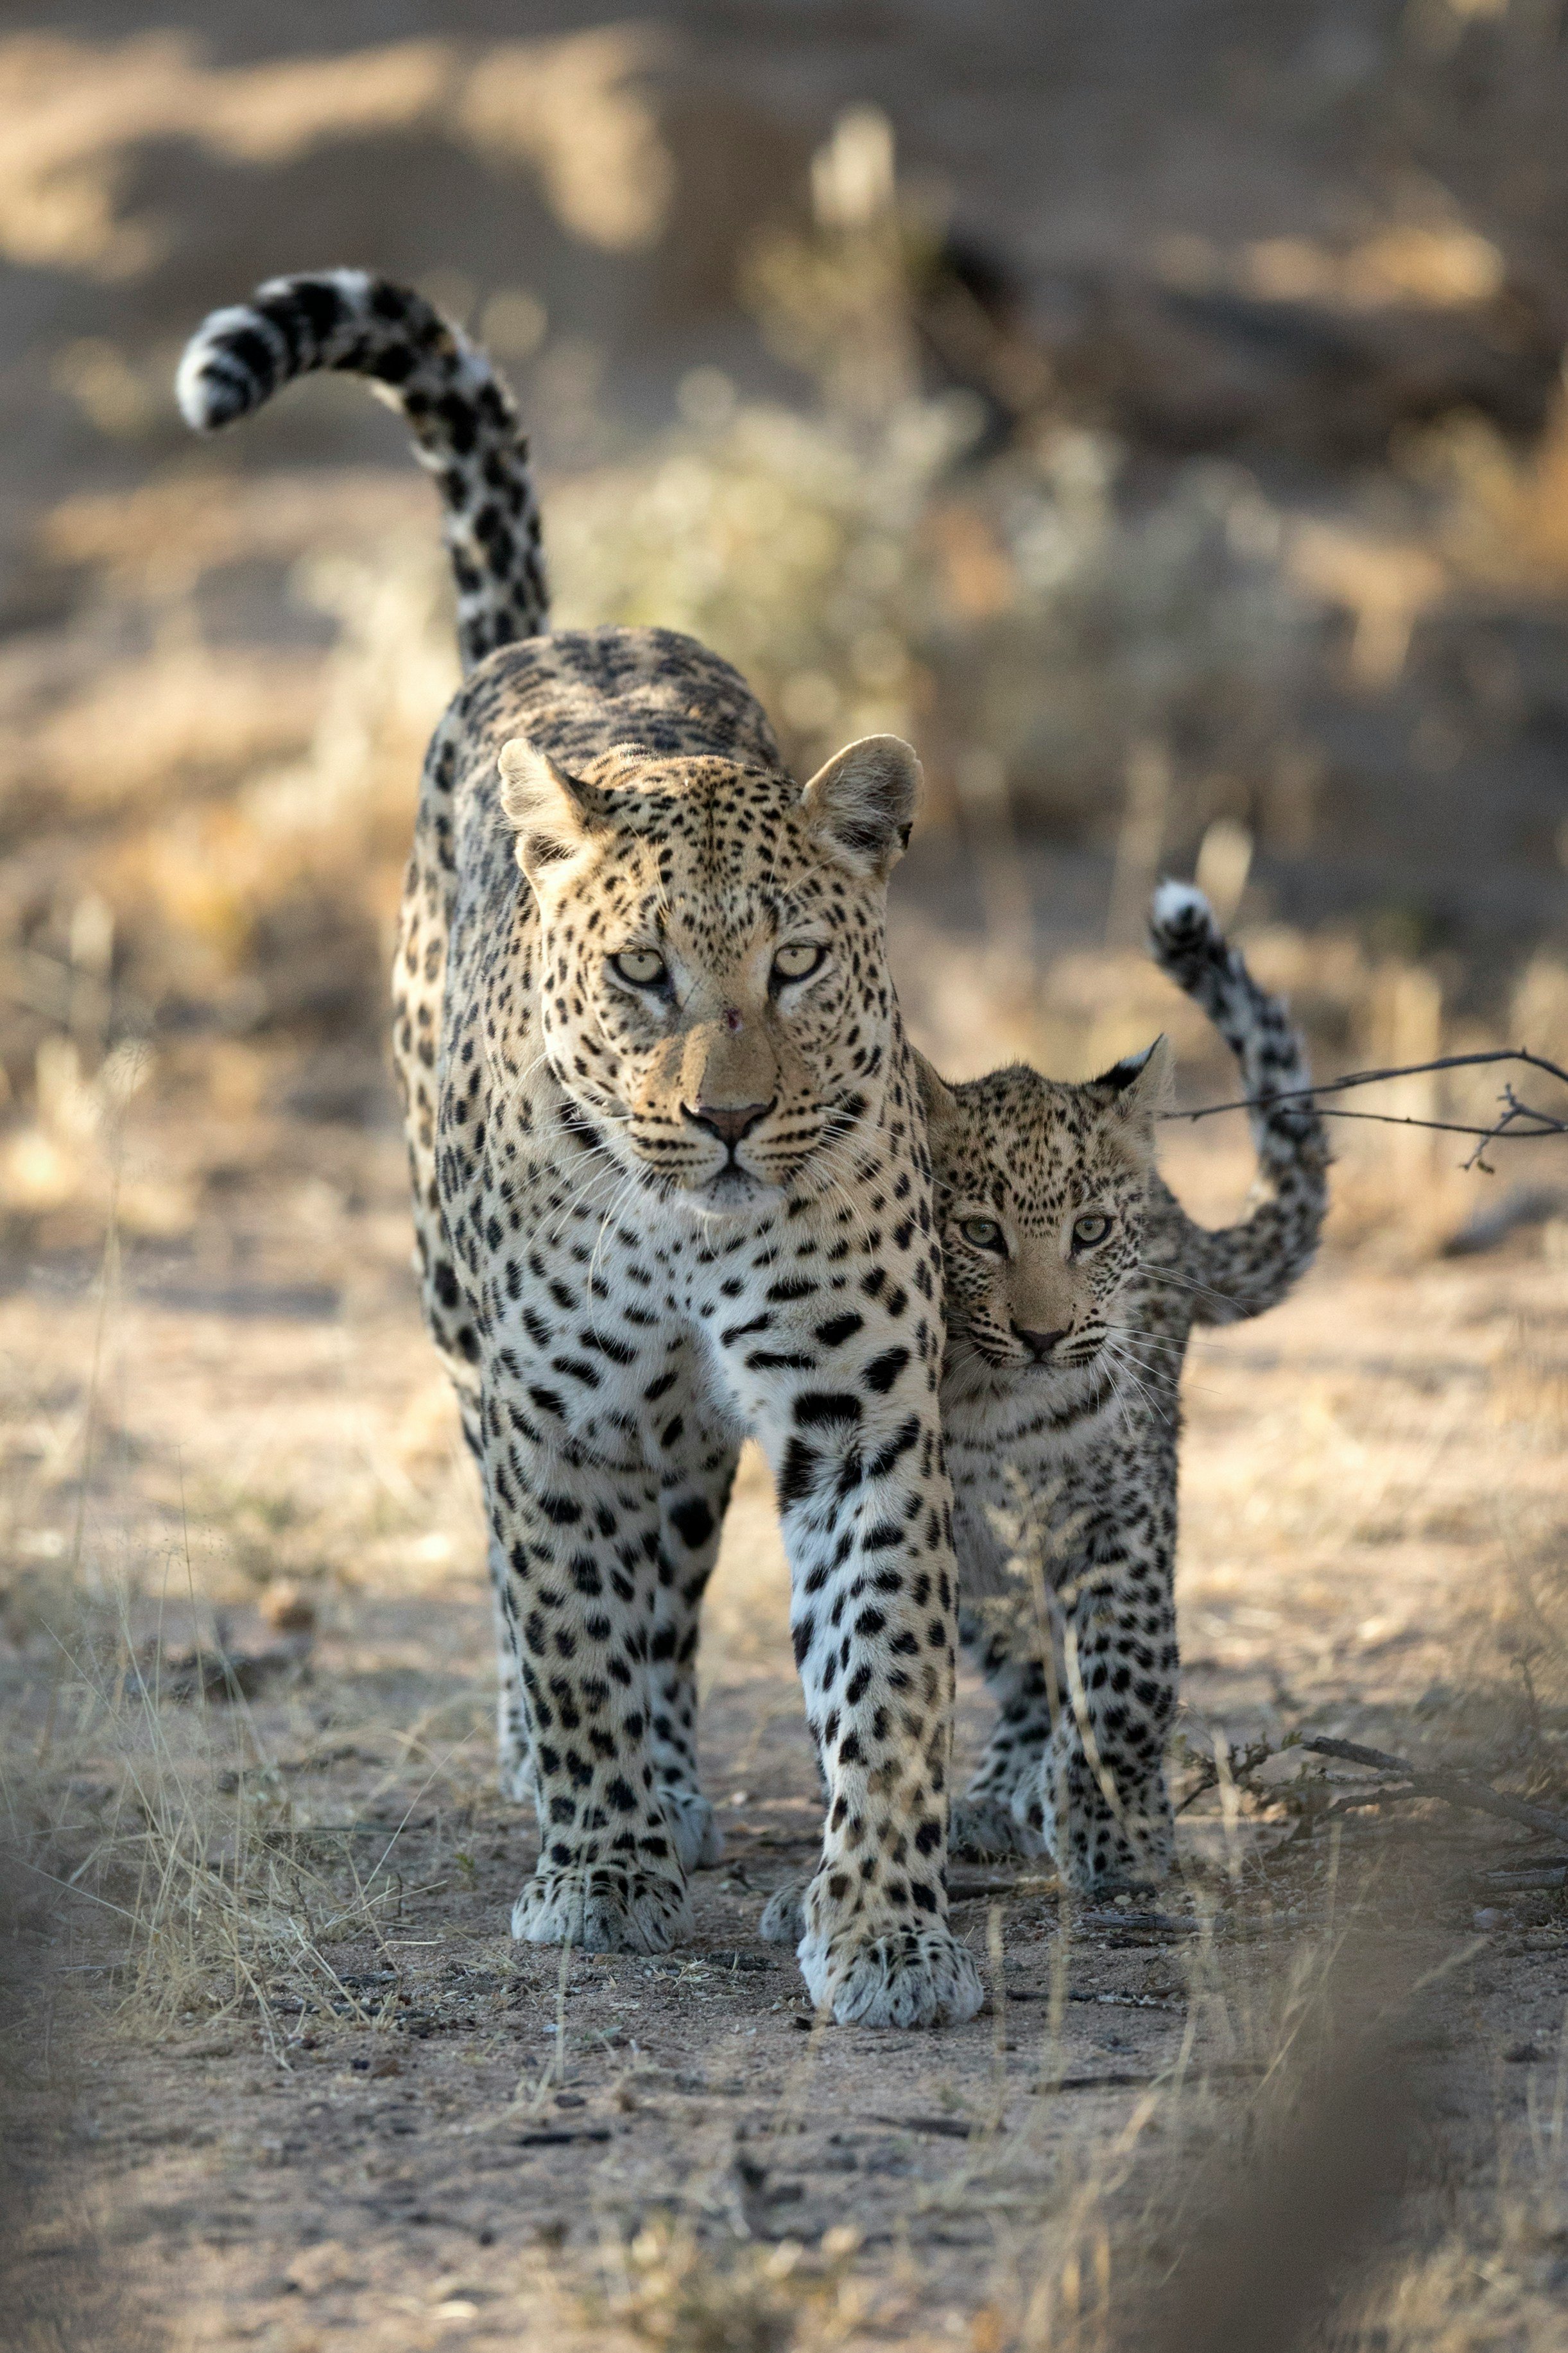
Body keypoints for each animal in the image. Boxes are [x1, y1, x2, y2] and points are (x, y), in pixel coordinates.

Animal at [179, 268, 982, 2029]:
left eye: (795, 965)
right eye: (641, 973)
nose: (731, 1116)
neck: (685, 1226)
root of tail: (564, 636)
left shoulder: (860, 1416)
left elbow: (885, 1670)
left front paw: (888, 1927)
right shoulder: (551, 1412)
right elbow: (563, 1626)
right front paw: (599, 1869)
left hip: (678, 1432)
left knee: (669, 1589)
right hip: (468, 1327)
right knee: (537, 1583)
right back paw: (585, 1789)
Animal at [760, 880, 1327, 1938]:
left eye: (1090, 1231)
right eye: (979, 1232)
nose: (1040, 1333)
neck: (998, 1404)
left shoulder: (1122, 1518)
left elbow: (1125, 1681)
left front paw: (1117, 1842)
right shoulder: (901, 1499)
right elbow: (875, 1679)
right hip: (989, 1559)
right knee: (1020, 1668)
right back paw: (998, 1795)